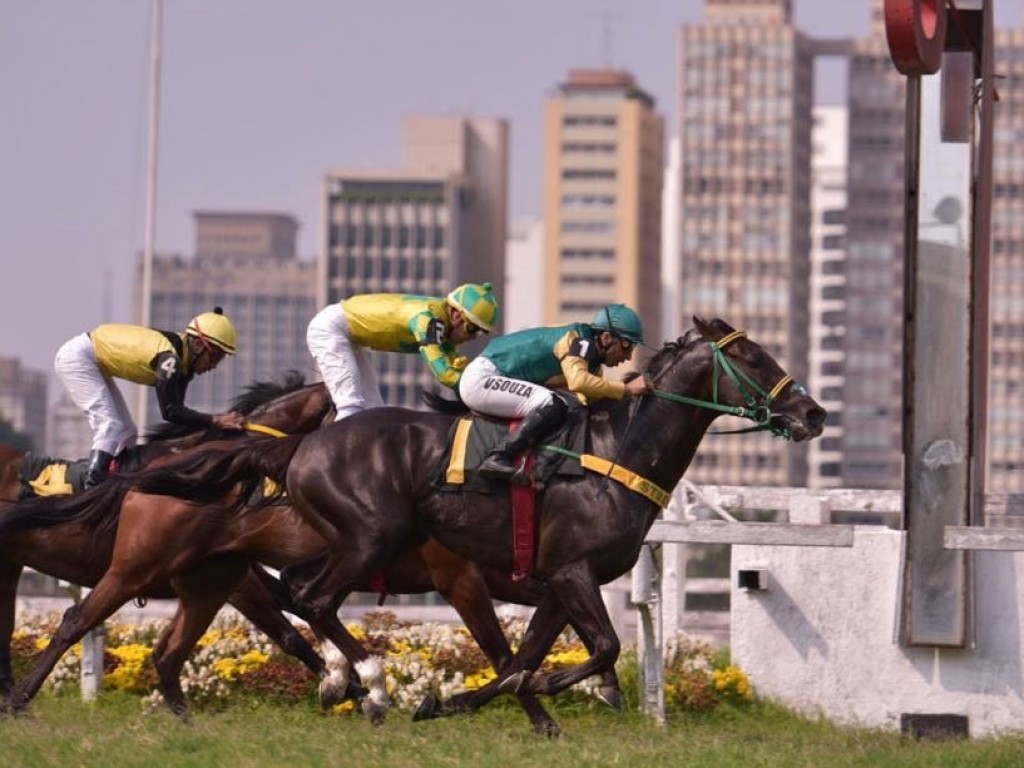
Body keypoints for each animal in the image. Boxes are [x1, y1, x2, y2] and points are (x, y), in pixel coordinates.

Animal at [81, 319, 831, 733]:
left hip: (266, 561)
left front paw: (455, 705)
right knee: (312, 599)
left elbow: (520, 661)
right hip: (368, 536)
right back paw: (368, 682)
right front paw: (547, 695)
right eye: (756, 359)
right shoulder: (567, 573)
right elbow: (597, 650)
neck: (616, 451)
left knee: (285, 604)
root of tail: (296, 446)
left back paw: (349, 682)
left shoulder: (557, 584)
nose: (814, 414)